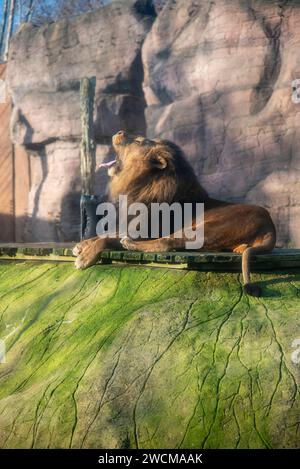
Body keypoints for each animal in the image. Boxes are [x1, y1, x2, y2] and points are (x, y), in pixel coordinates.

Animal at [73, 129, 276, 296]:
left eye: (138, 141)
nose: (119, 131)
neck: (142, 184)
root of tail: (270, 227)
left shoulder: (145, 231)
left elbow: (107, 238)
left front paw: (85, 257)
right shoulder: (130, 224)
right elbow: (104, 234)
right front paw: (82, 245)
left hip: (205, 229)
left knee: (166, 244)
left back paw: (129, 244)